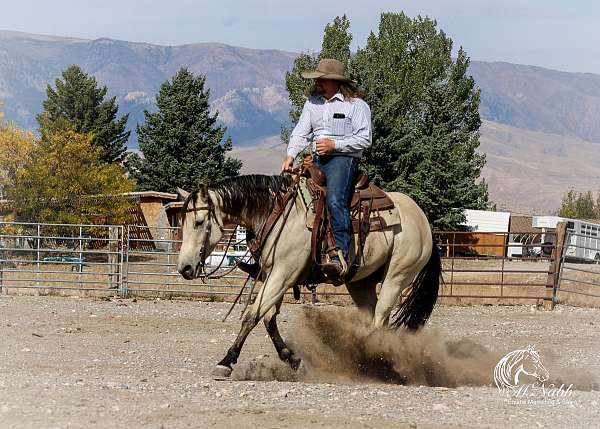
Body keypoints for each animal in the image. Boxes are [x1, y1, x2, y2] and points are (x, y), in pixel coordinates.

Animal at [176, 172, 438, 376]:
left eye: (199, 222)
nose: (184, 268)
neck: (275, 213)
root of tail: (423, 220)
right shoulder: (274, 275)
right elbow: (268, 319)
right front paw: (291, 358)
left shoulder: (283, 274)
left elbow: (252, 316)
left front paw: (226, 361)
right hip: (361, 283)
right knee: (372, 317)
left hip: (396, 277)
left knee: (381, 317)